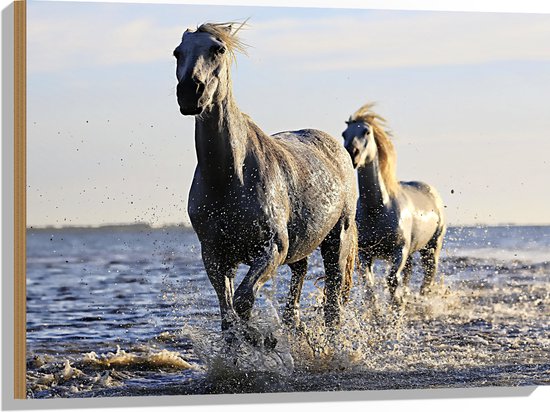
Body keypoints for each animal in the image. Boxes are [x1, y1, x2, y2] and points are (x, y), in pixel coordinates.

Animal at [344, 104, 448, 308]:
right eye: (344, 133)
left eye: (366, 131)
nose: (352, 153)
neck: (377, 209)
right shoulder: (365, 253)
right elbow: (369, 286)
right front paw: (377, 311)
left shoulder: (399, 251)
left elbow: (392, 281)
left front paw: (396, 306)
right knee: (409, 273)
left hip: (432, 247)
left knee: (428, 277)